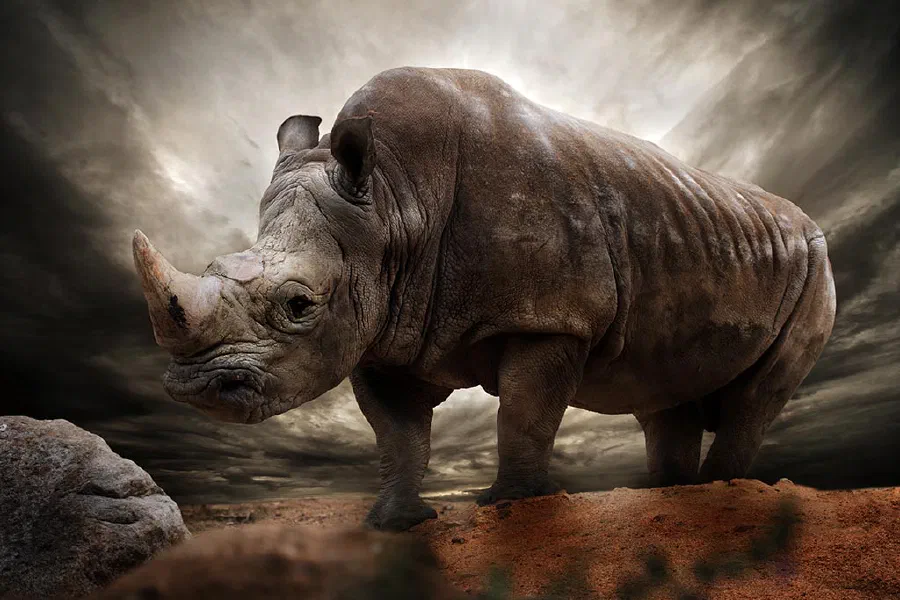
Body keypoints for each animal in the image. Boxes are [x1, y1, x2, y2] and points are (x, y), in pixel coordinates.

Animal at [133, 67, 836, 531]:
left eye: (299, 305)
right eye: (212, 268)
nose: (196, 389)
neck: (394, 200)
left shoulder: (552, 317)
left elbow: (524, 414)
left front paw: (514, 507)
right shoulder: (382, 328)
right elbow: (399, 435)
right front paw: (395, 522)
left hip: (816, 264)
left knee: (754, 397)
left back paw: (722, 492)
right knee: (664, 392)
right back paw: (672, 496)